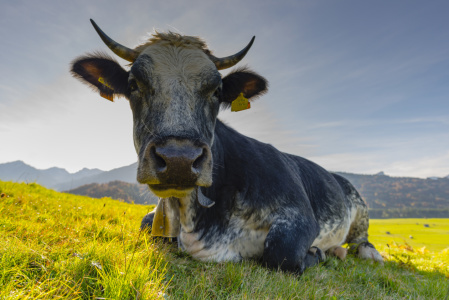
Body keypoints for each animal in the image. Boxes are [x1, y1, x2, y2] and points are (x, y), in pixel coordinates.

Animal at [71, 19, 382, 274]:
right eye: (134, 84)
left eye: (217, 91)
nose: (179, 160)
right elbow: (145, 224)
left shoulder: (300, 214)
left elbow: (281, 252)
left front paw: (318, 251)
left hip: (360, 208)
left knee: (361, 238)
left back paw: (360, 251)